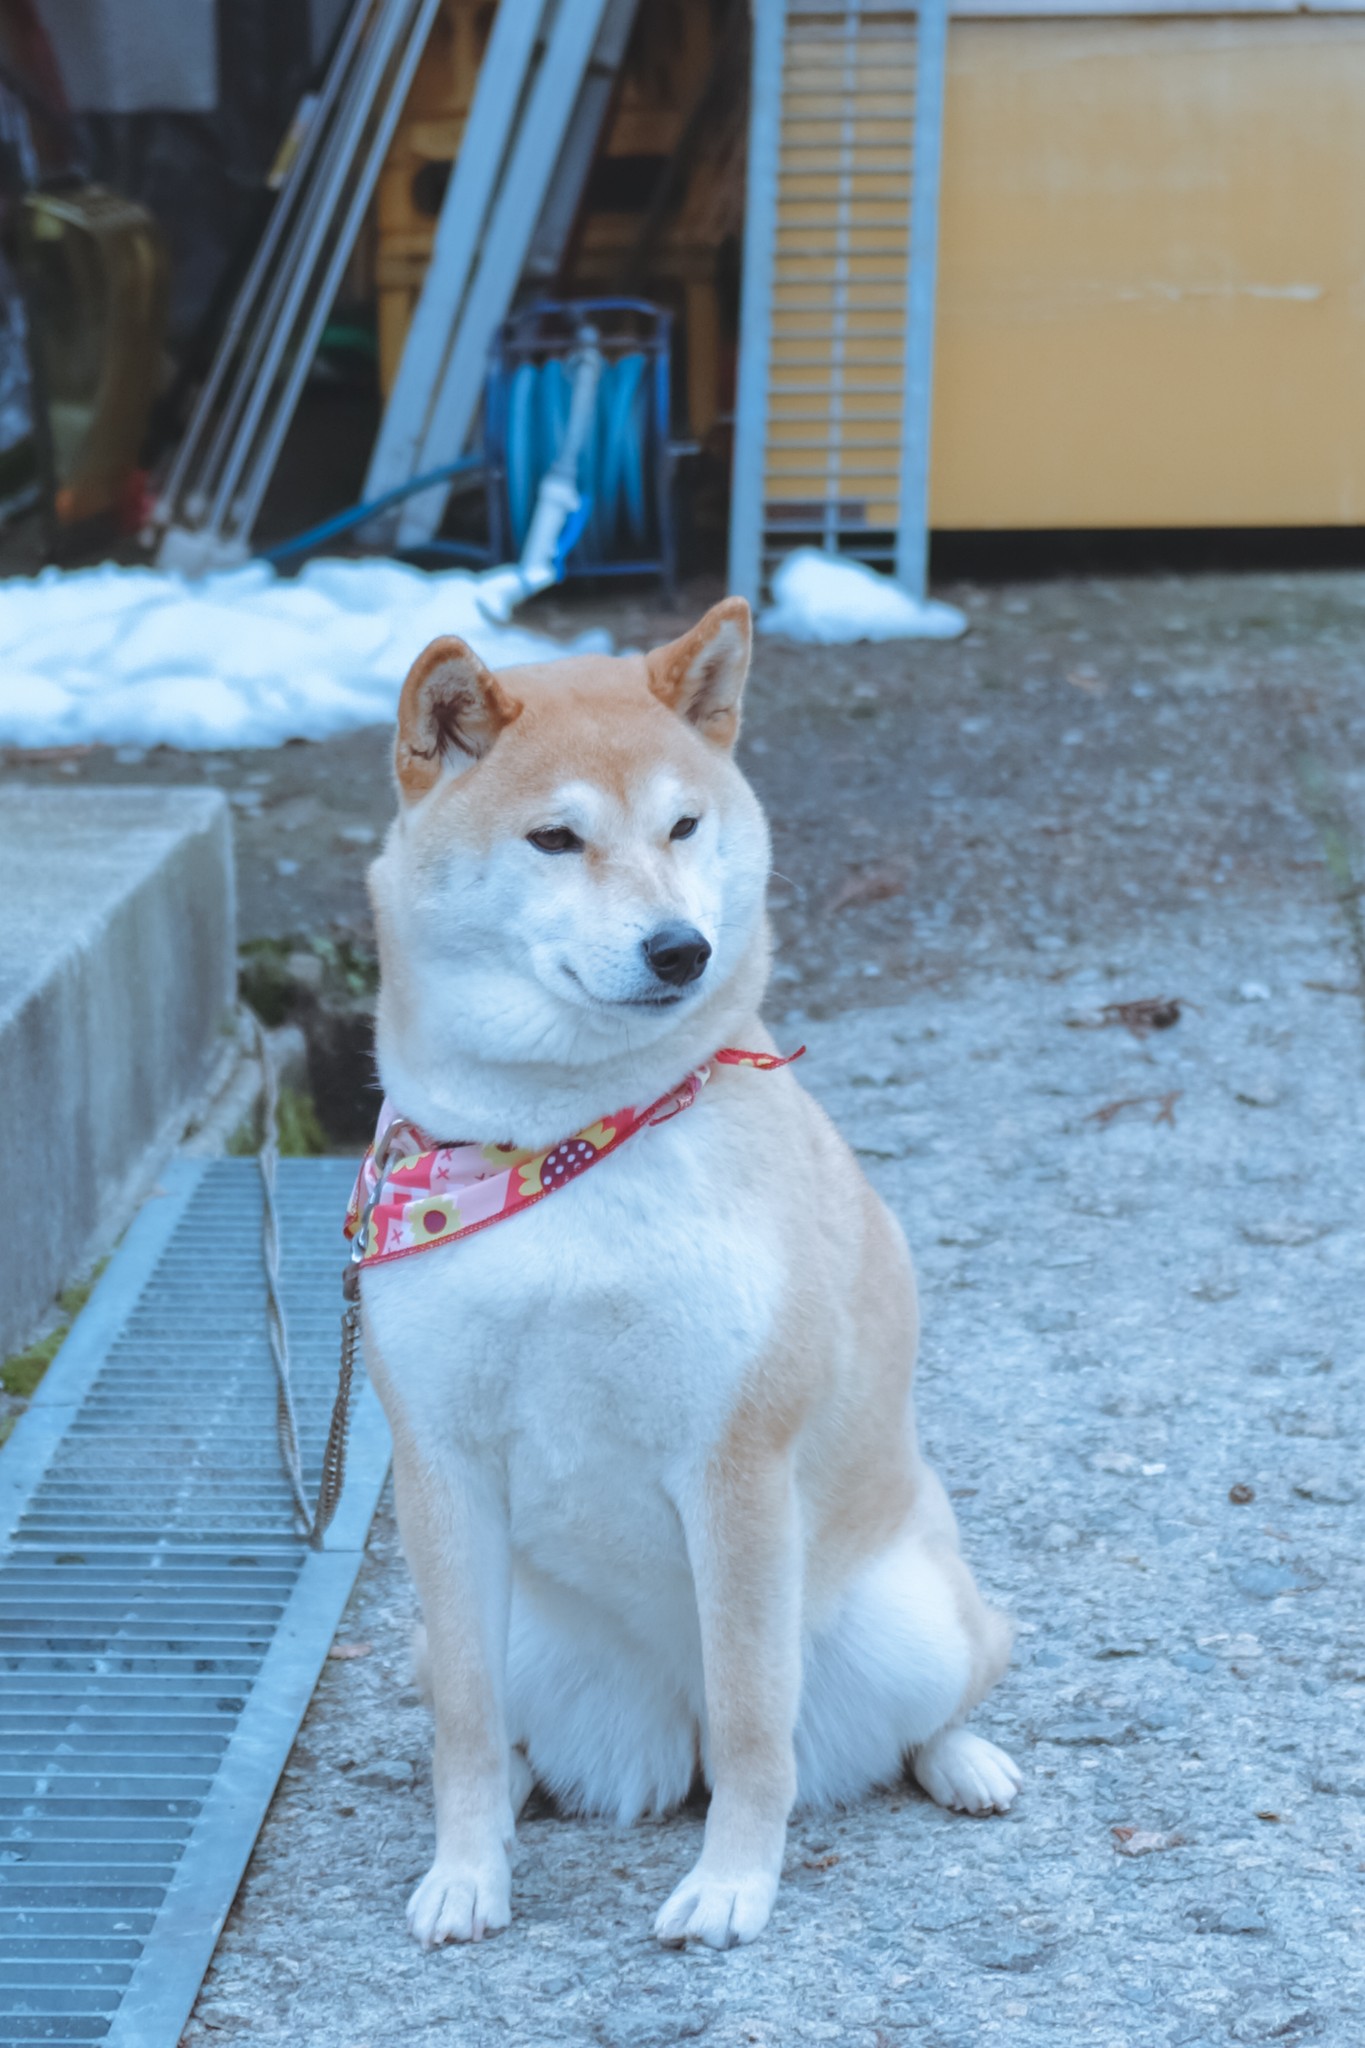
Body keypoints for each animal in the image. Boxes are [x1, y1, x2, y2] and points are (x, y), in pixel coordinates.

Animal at [358, 598, 1019, 1949]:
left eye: (683, 826)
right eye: (556, 837)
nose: (681, 947)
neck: (557, 1140)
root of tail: (670, 1735)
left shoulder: (736, 1461)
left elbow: (760, 1720)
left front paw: (732, 1883)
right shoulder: (439, 1464)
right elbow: (463, 1723)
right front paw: (467, 1869)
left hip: (916, 1616)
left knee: (921, 1702)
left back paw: (964, 1758)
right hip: (477, 1636)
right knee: (502, 1724)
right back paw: (518, 1796)